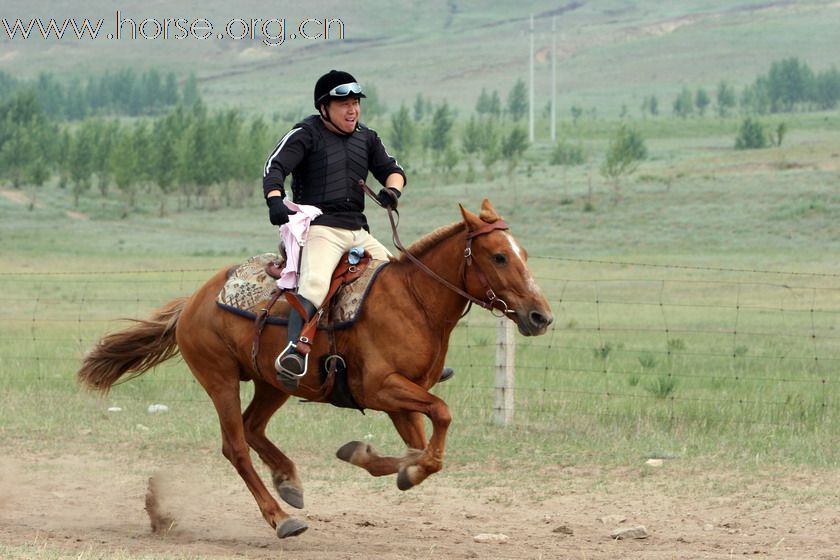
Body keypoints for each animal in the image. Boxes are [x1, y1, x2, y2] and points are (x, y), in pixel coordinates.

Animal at [77, 200, 552, 540]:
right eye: (499, 257)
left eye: (524, 254)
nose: (540, 316)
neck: (414, 302)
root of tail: (194, 300)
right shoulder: (380, 389)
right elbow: (442, 416)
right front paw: (388, 462)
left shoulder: (400, 400)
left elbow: (424, 450)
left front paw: (382, 462)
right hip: (221, 379)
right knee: (236, 446)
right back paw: (281, 517)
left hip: (275, 382)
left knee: (252, 427)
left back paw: (289, 481)